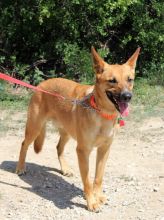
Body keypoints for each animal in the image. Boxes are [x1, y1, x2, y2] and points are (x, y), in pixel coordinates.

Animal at [16, 46, 140, 211]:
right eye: (112, 81)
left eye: (129, 79)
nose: (127, 96)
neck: (102, 113)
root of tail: (42, 84)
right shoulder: (83, 151)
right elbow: (87, 180)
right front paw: (91, 201)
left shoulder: (104, 149)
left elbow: (98, 177)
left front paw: (98, 196)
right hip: (34, 127)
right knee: (24, 144)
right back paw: (20, 168)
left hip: (67, 132)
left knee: (59, 147)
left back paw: (65, 169)